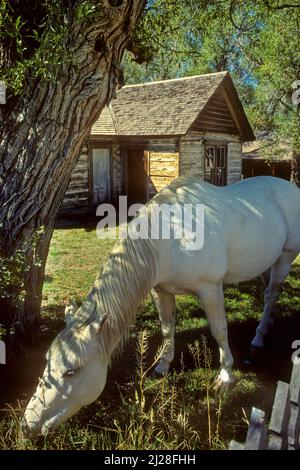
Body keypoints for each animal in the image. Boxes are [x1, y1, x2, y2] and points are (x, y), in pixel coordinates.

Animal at [22, 177, 300, 436]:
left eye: (71, 372)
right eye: (47, 362)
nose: (27, 424)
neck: (170, 237)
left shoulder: (210, 288)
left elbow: (220, 331)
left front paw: (225, 375)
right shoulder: (161, 291)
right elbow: (167, 328)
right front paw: (163, 365)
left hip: (285, 258)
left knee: (271, 294)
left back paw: (259, 337)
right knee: (267, 293)